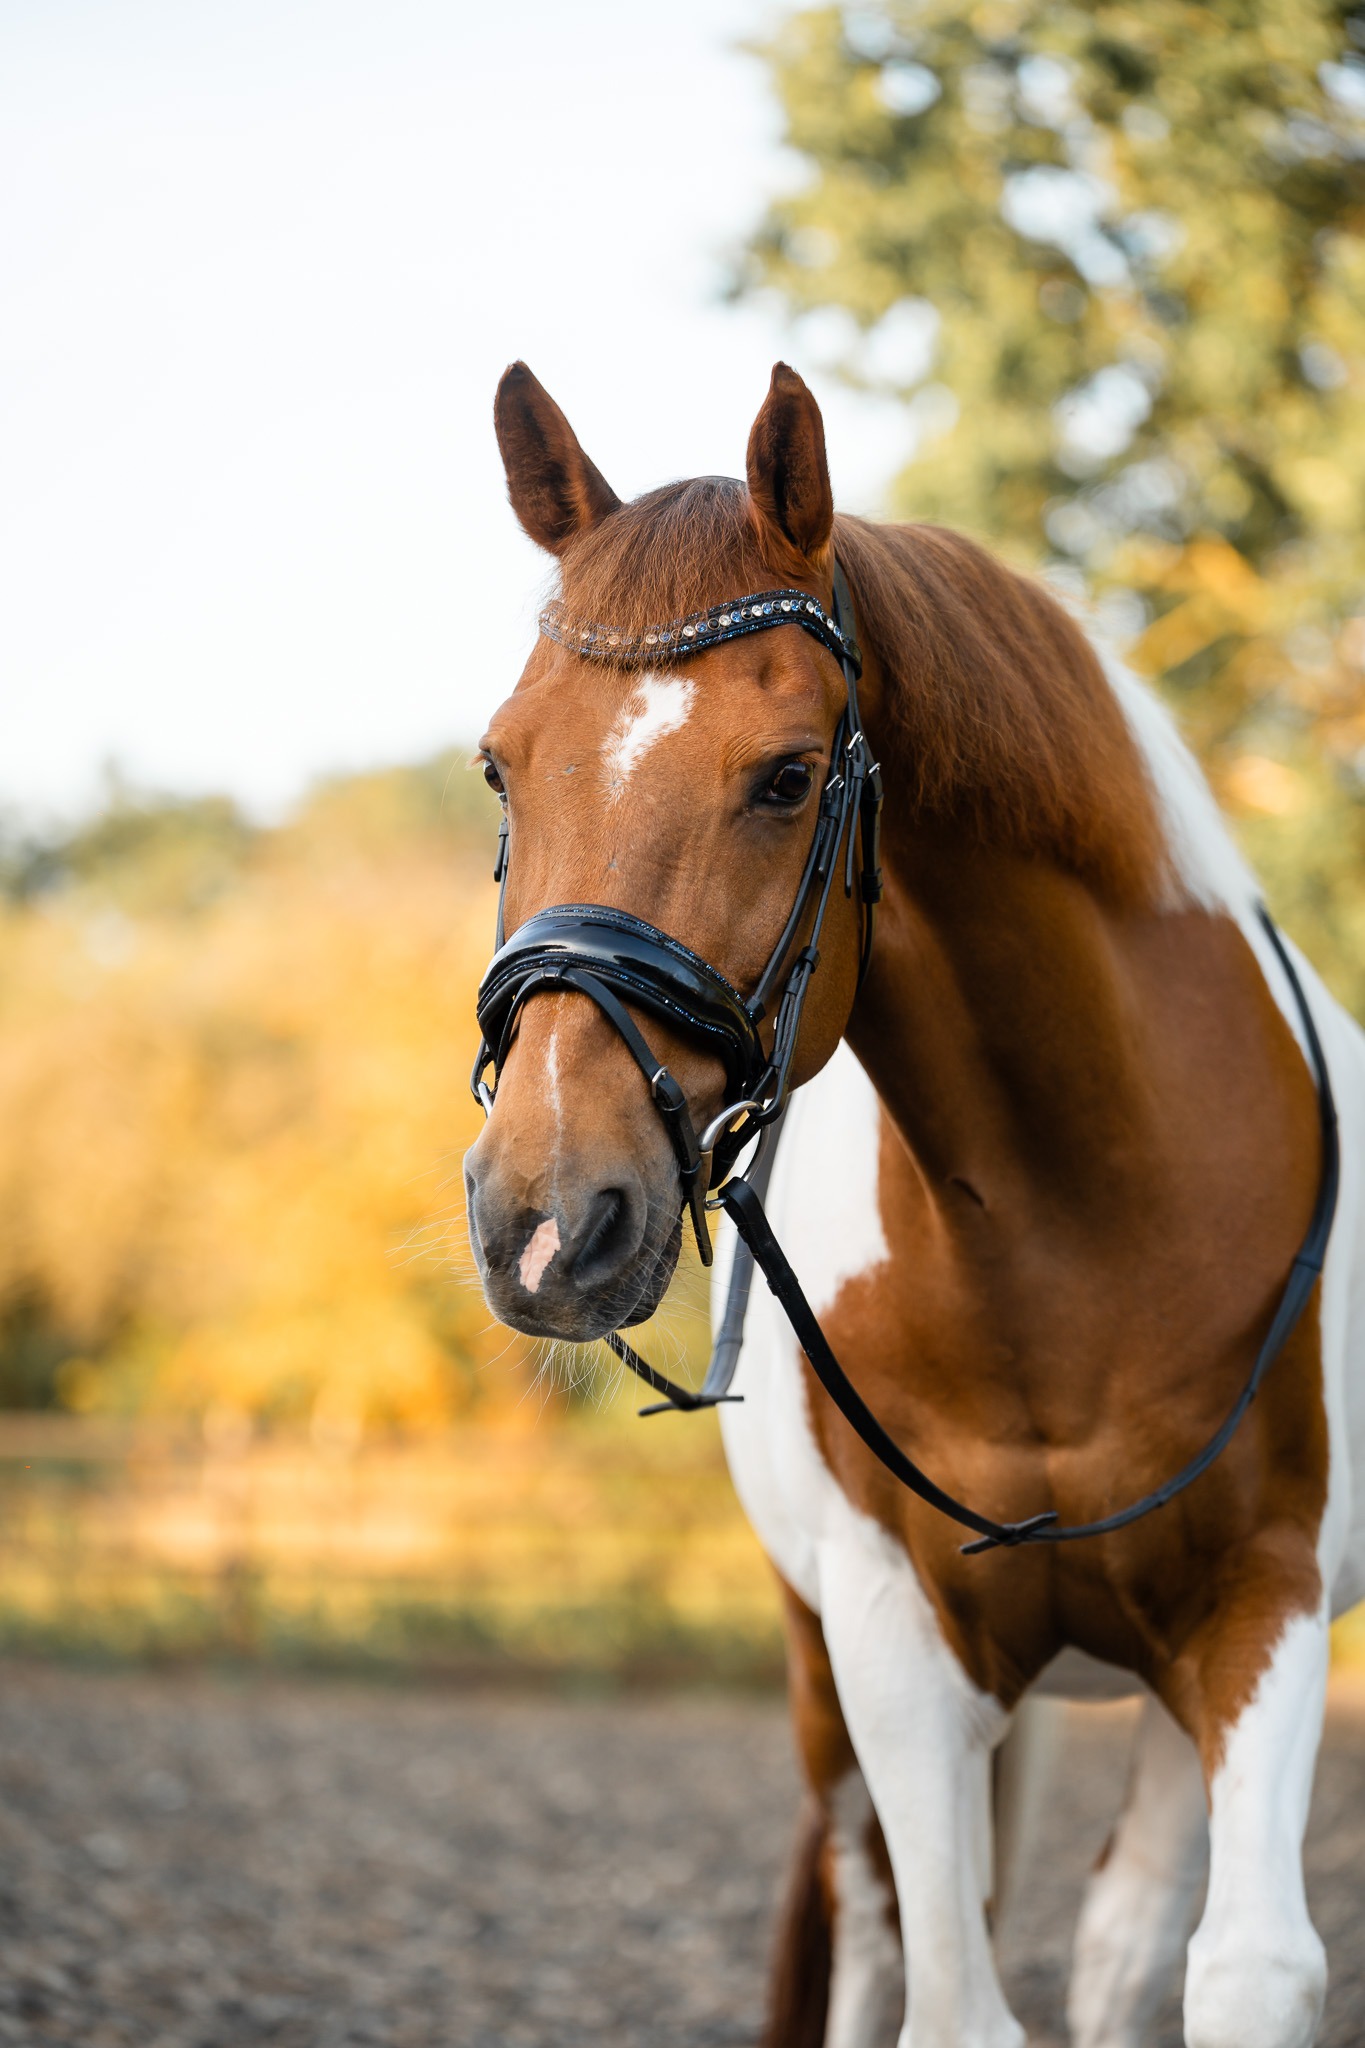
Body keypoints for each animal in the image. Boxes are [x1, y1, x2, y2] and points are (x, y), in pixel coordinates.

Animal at [462, 358, 1365, 2048]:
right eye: (502, 761)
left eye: (786, 777)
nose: (544, 1221)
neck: (1080, 1234)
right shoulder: (891, 1630)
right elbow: (947, 1996)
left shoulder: (1262, 1600)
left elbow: (1246, 1966)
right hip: (824, 1677)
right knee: (876, 1928)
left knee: (1127, 1934)